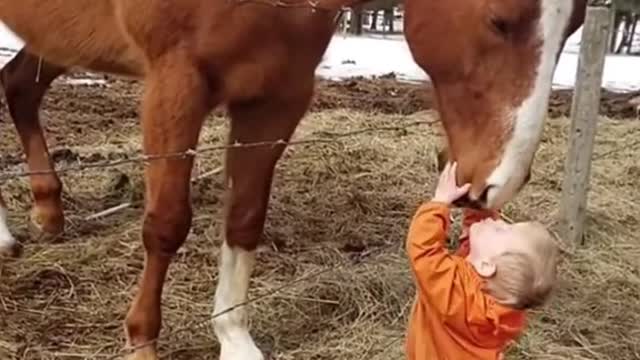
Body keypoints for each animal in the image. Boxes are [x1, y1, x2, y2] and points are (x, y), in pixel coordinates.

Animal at [0, 0, 584, 358]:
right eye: (500, 20)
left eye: (575, 25)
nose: (500, 182)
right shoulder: (175, 85)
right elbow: (166, 223)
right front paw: (142, 340)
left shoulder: (276, 98)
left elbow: (244, 218)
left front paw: (233, 337)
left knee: (19, 86)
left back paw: (47, 209)